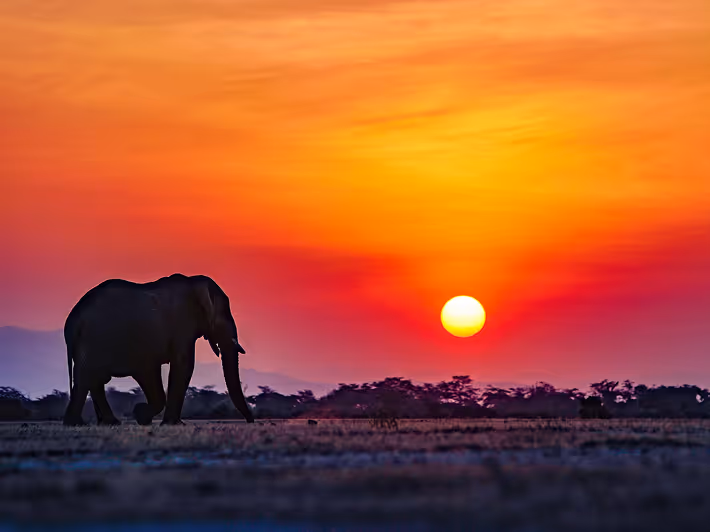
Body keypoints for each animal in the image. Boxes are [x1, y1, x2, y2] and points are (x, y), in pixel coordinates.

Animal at [62, 274, 254, 426]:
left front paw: (142, 416)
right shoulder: (181, 322)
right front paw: (167, 422)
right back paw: (76, 424)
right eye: (223, 316)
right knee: (87, 377)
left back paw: (108, 423)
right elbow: (183, 364)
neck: (194, 282)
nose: (250, 420)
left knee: (94, 379)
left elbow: (152, 370)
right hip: (93, 339)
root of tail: (72, 320)